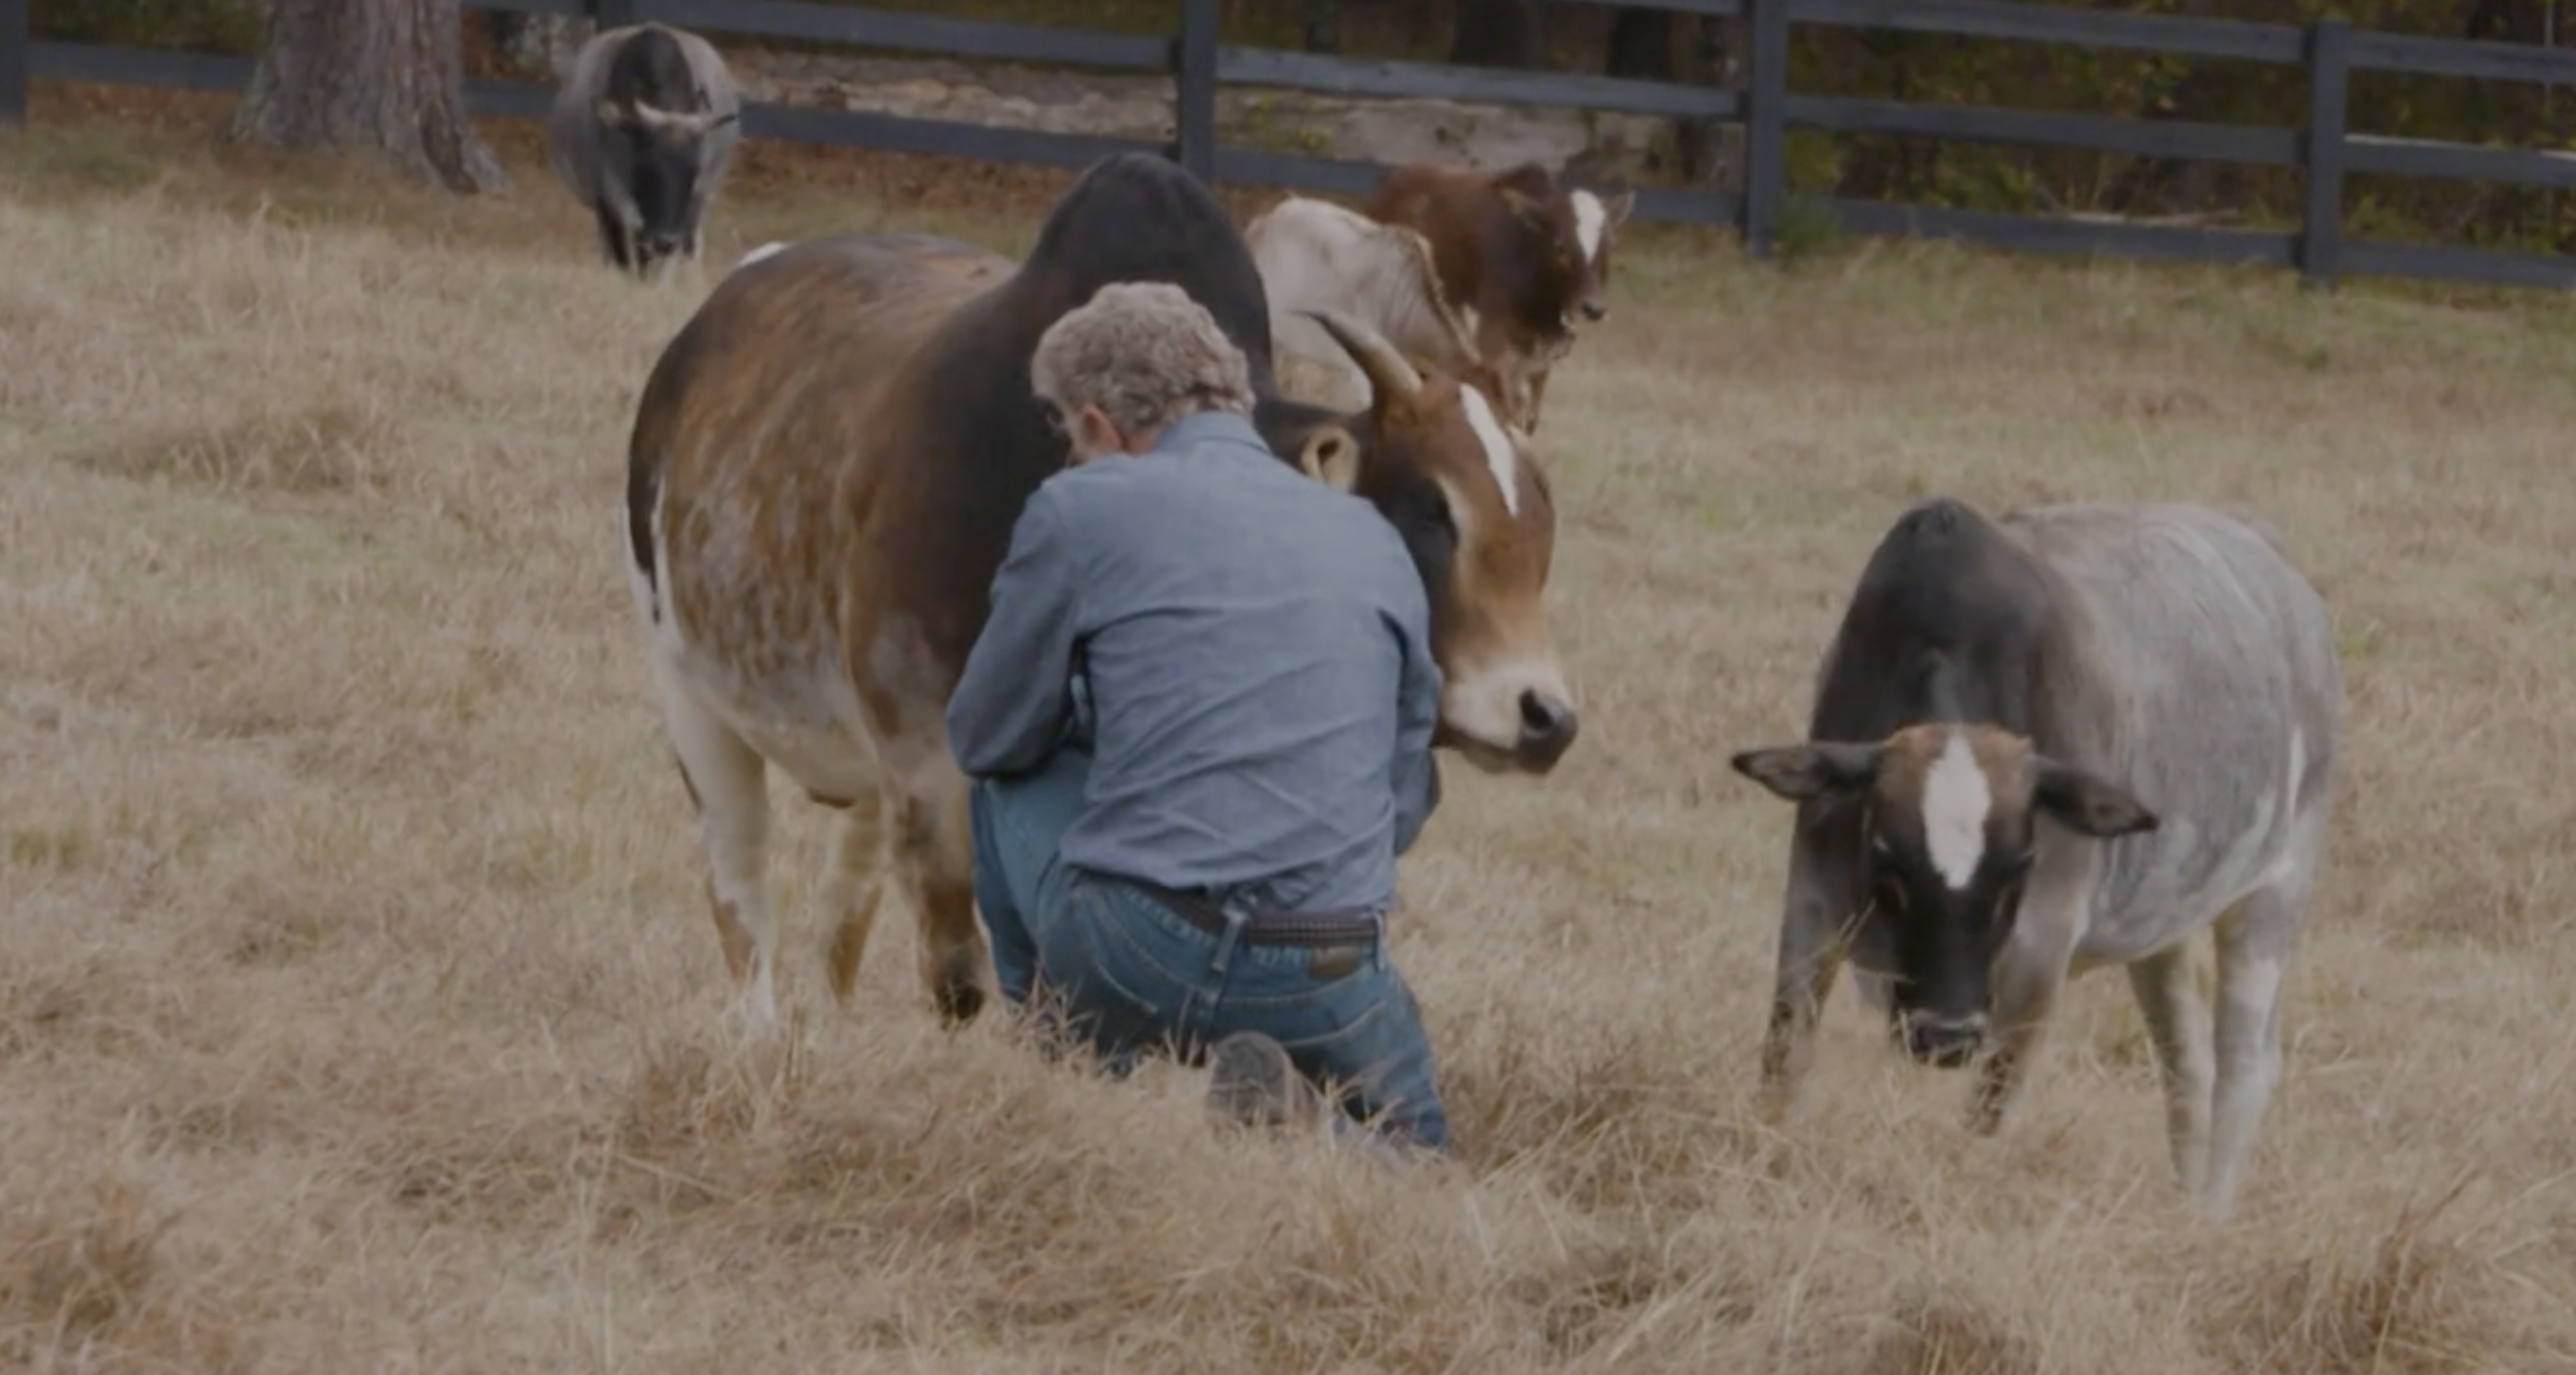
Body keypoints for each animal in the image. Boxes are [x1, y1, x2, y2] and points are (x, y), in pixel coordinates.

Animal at [628, 150, 1586, 1040]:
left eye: (1542, 520)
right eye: (1434, 508)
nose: (1545, 715)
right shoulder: (926, 763)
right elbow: (959, 979)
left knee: (842, 909)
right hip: (690, 697)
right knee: (742, 890)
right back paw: (761, 1035)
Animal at [1360, 159, 1638, 432]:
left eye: (1611, 245)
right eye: (1560, 246)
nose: (1594, 308)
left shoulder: (1542, 357)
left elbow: (1529, 414)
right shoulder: (1492, 345)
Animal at [1721, 499, 2349, 1230]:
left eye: (2019, 864)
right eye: (1886, 858)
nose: (1947, 1035)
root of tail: (2282, 571)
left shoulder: (2038, 954)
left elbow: (1988, 1113)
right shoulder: (1812, 903)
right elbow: (1782, 1066)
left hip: (2275, 895)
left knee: (2244, 1067)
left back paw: (2210, 1215)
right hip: (2162, 931)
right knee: (2186, 1065)